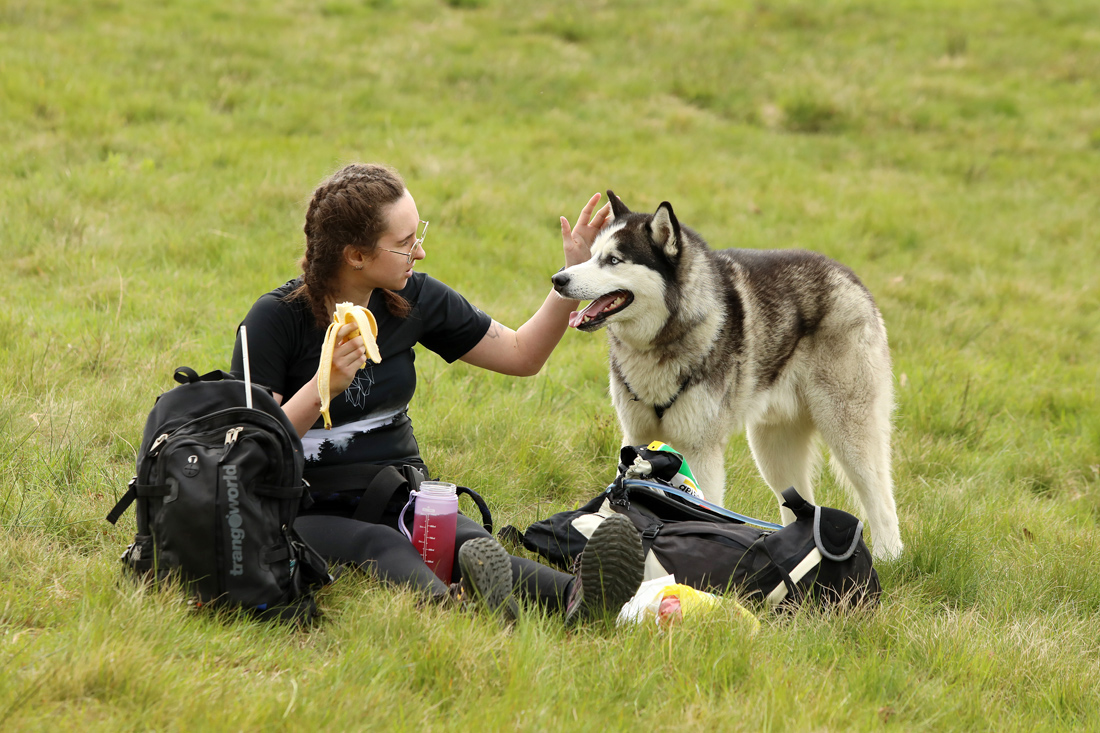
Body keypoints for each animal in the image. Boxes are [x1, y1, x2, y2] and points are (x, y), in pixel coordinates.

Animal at [551, 192, 903, 560]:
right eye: (590, 256)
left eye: (614, 260)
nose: (558, 280)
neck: (661, 340)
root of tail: (848, 274)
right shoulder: (635, 438)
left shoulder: (701, 452)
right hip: (773, 450)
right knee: (799, 503)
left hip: (848, 431)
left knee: (880, 498)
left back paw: (889, 557)